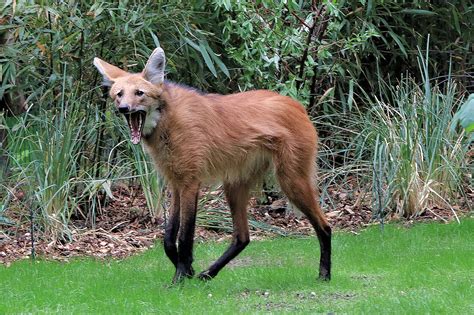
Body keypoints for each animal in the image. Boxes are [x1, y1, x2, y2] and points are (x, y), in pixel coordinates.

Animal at [91, 48, 330, 286]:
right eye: (119, 94)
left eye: (139, 93)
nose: (123, 108)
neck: (166, 120)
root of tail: (297, 105)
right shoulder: (176, 182)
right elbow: (168, 237)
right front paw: (187, 270)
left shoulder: (190, 183)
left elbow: (184, 236)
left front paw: (180, 277)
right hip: (234, 184)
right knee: (242, 237)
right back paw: (208, 273)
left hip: (291, 180)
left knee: (324, 226)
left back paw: (325, 274)